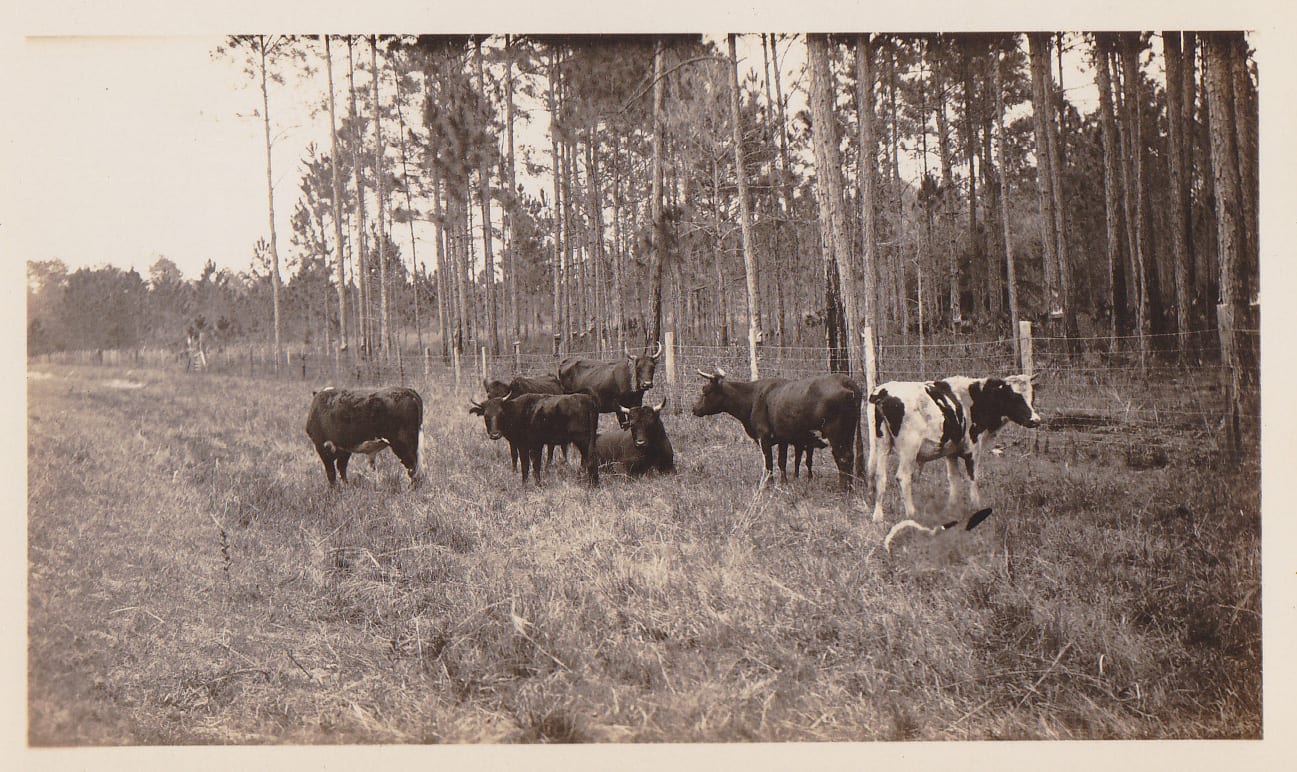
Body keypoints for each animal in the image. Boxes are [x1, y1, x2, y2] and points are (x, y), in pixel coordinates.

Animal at [468, 392, 600, 486]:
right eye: (486, 416)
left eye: (501, 413)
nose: (495, 434)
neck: (517, 412)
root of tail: (588, 399)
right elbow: (535, 465)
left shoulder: (526, 445)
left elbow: (527, 465)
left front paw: (526, 485)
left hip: (582, 440)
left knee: (590, 460)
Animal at [692, 368, 862, 491]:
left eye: (706, 391)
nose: (694, 409)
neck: (753, 398)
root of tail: (847, 382)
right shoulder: (783, 438)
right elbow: (782, 461)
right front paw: (784, 482)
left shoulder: (764, 437)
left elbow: (769, 463)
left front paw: (769, 484)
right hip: (849, 432)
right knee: (850, 456)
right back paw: (851, 487)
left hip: (836, 433)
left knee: (842, 457)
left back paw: (843, 489)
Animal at [868, 374, 1040, 523]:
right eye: (1015, 397)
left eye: (1032, 396)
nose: (1036, 420)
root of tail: (883, 391)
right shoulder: (973, 447)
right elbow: (972, 477)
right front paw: (976, 506)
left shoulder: (951, 451)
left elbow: (954, 478)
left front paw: (951, 508)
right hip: (909, 448)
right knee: (903, 476)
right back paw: (912, 513)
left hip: (882, 444)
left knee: (880, 476)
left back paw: (878, 516)